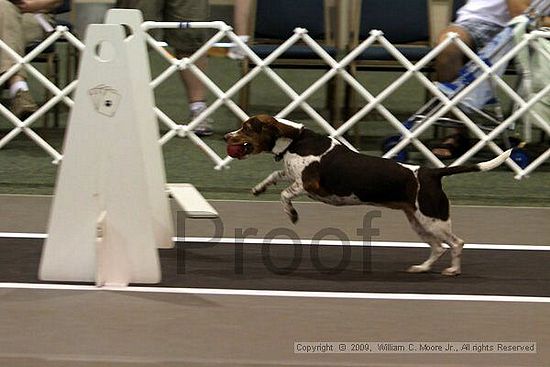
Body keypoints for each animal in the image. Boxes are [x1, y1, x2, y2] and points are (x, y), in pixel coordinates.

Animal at [224, 115, 512, 276]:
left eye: (246, 128)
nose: (227, 136)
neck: (295, 140)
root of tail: (432, 172)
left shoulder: (310, 185)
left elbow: (285, 194)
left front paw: (292, 214)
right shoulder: (293, 175)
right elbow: (275, 175)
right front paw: (259, 188)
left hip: (434, 219)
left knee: (457, 243)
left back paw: (453, 270)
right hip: (418, 221)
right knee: (439, 247)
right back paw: (422, 268)